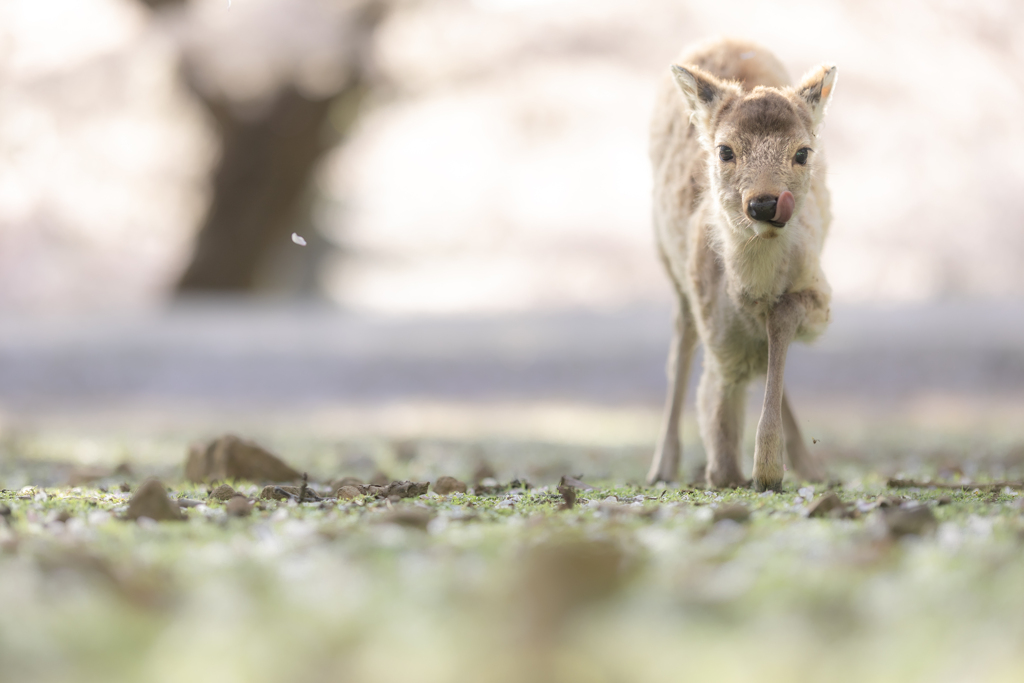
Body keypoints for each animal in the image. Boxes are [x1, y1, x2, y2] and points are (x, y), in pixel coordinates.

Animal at [647, 40, 831, 491]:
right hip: (672, 269)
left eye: (802, 151)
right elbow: (717, 419)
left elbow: (780, 327)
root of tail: (723, 38)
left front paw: (768, 467)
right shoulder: (719, 342)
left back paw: (809, 465)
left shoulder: (821, 294)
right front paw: (741, 471)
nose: (764, 203)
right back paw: (662, 467)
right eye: (725, 150)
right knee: (680, 346)